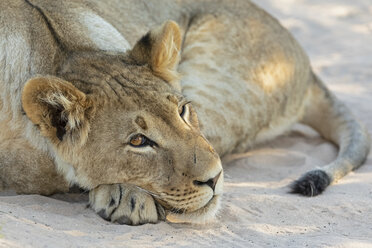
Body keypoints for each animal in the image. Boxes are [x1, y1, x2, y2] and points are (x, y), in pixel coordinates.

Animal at [0, 0, 370, 226]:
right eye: (138, 141)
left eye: (182, 110)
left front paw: (125, 195)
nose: (214, 179)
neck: (62, 48)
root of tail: (309, 68)